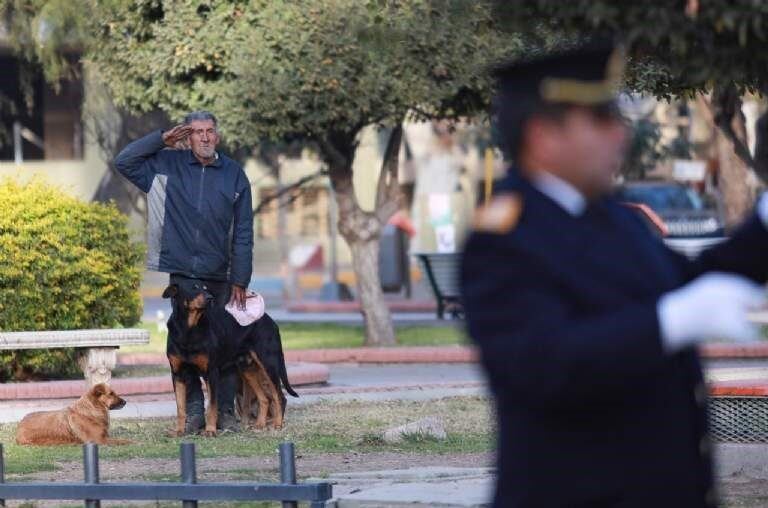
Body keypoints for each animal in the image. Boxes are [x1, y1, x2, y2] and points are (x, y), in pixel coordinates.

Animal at [164, 280, 296, 434]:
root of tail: (272, 322)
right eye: (193, 288)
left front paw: (210, 431)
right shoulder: (178, 374)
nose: (210, 298)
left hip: (269, 363)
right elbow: (180, 407)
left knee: (279, 396)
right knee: (264, 398)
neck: (188, 328)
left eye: (206, 288)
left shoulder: (211, 372)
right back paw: (260, 424)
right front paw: (179, 431)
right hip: (247, 368)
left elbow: (212, 406)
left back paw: (277, 424)